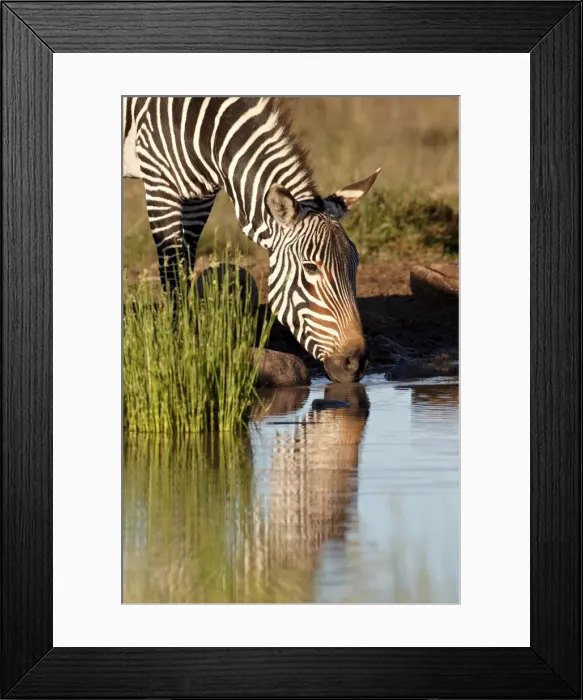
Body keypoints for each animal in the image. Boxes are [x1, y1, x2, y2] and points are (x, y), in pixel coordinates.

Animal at [123, 97, 381, 383]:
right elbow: (173, 272)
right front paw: (178, 353)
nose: (356, 362)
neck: (206, 130)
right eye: (311, 268)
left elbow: (186, 264)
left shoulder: (199, 197)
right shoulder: (160, 184)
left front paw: (190, 346)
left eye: (355, 265)